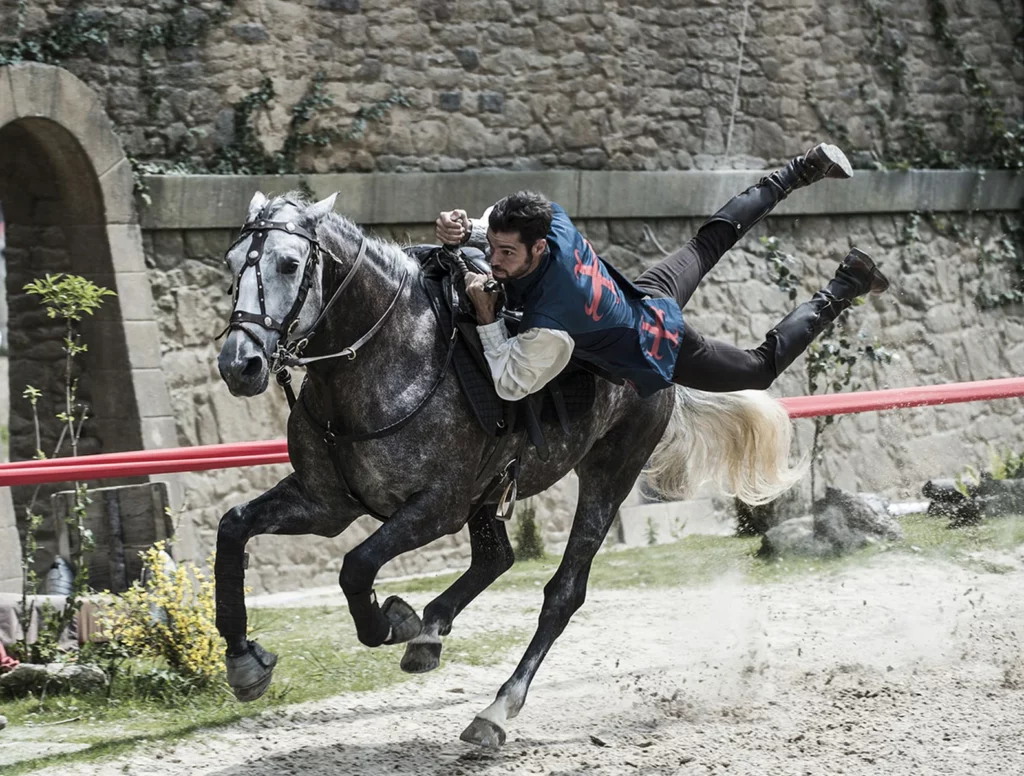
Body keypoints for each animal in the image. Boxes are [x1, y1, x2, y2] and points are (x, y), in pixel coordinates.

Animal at [214, 191, 798, 749]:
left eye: (290, 263)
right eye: (231, 261)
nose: (239, 364)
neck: (387, 360)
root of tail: (662, 341)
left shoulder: (437, 507)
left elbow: (355, 566)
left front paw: (391, 622)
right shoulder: (326, 501)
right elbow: (234, 526)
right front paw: (244, 661)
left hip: (610, 472)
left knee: (562, 593)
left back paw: (495, 707)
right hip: (494, 488)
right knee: (498, 558)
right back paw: (430, 634)